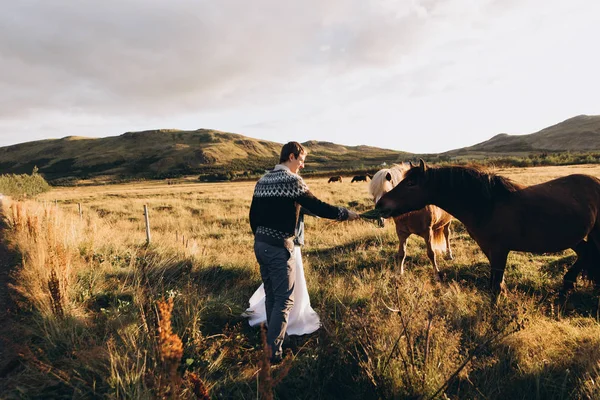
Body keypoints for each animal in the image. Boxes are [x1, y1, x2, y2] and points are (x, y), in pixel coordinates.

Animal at [378, 159, 600, 304]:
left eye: (411, 183)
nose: (381, 204)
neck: (488, 204)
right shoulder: (489, 250)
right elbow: (495, 284)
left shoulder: (501, 251)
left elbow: (495, 286)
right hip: (574, 237)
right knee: (586, 253)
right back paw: (566, 287)